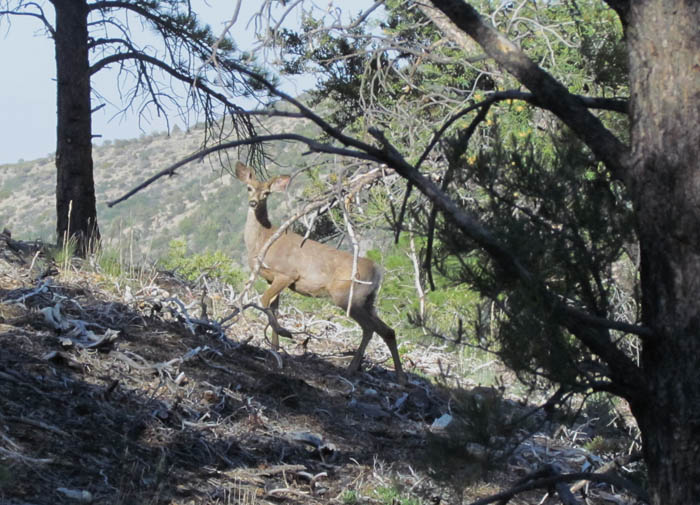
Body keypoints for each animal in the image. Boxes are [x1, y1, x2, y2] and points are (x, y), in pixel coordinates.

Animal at [235, 163, 408, 384]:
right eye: (249, 187)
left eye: (266, 193)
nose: (253, 202)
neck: (263, 240)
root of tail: (377, 270)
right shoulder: (270, 279)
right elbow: (273, 308)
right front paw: (275, 350)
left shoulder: (287, 273)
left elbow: (264, 301)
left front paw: (285, 333)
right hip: (368, 300)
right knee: (388, 331)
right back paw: (397, 376)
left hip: (346, 295)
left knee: (369, 328)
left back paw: (353, 369)